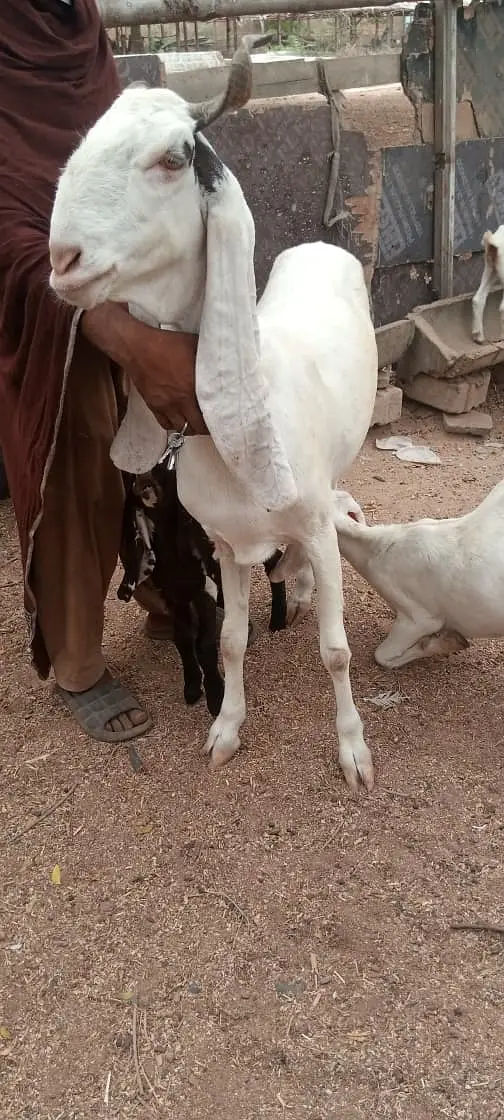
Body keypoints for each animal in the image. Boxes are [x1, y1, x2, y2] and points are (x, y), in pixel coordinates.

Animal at [48, 35, 379, 792]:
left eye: (173, 158)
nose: (62, 258)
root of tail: (321, 241)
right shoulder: (222, 544)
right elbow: (228, 641)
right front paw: (226, 730)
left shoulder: (316, 525)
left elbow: (338, 651)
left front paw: (353, 751)